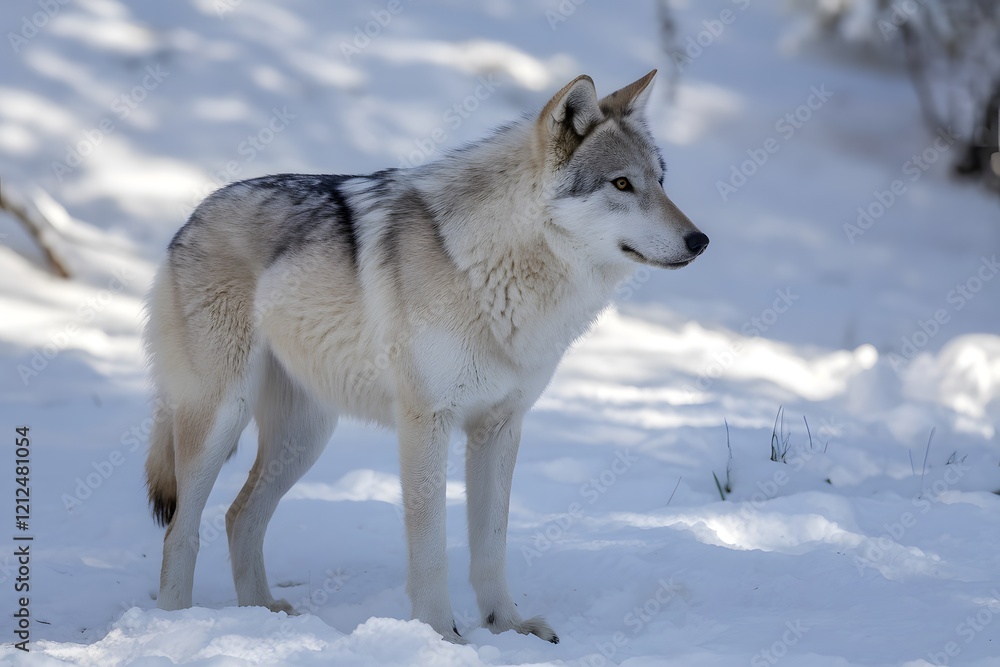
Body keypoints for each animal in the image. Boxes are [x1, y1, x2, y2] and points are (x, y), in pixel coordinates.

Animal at [144, 70, 708, 644]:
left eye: (661, 180)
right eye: (621, 184)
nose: (700, 240)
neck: (492, 268)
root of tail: (193, 215)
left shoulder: (500, 426)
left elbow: (491, 545)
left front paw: (507, 626)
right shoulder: (426, 423)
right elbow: (432, 548)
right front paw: (441, 634)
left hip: (305, 439)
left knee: (239, 517)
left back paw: (263, 617)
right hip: (222, 418)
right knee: (181, 531)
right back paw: (173, 625)